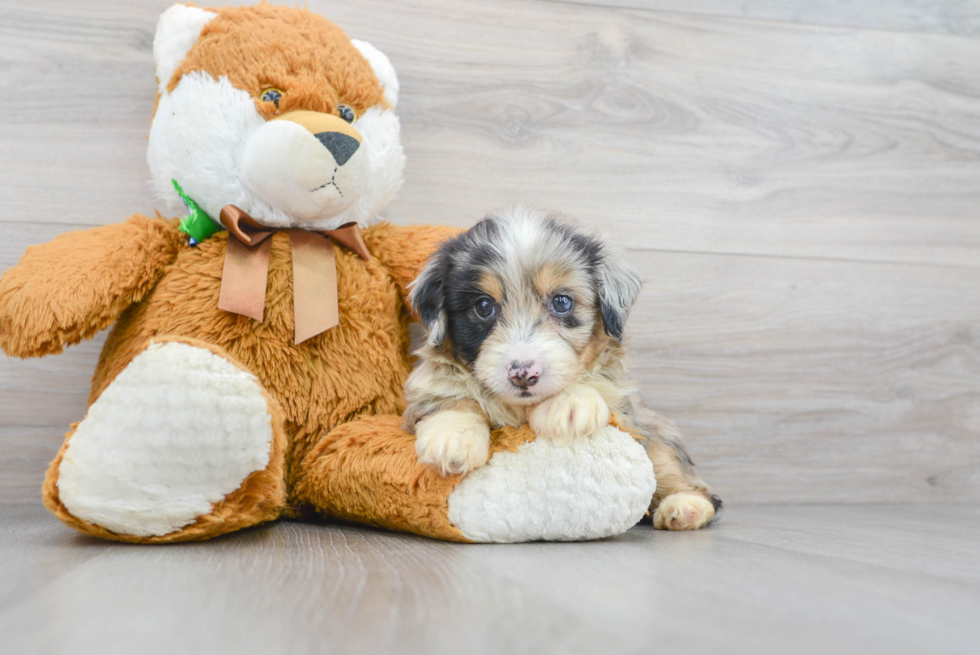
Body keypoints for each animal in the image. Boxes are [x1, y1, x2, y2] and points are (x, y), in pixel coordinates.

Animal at [404, 208, 720, 532]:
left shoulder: (621, 400)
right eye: (483, 306)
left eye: (562, 302)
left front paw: (569, 404)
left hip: (653, 430)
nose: (523, 373)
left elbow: (595, 381)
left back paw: (686, 506)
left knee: (672, 466)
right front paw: (452, 437)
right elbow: (449, 395)